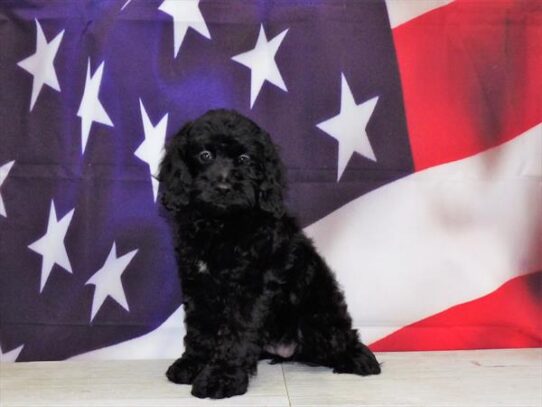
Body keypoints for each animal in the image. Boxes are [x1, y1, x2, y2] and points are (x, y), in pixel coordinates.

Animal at [159, 108, 382, 398]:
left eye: (244, 159)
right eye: (204, 155)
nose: (223, 187)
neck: (221, 224)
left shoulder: (250, 286)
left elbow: (236, 333)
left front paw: (221, 379)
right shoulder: (197, 283)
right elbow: (200, 328)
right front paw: (192, 364)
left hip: (319, 317)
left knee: (344, 337)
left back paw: (360, 360)